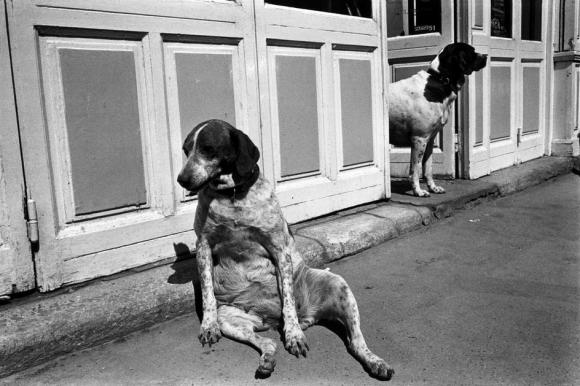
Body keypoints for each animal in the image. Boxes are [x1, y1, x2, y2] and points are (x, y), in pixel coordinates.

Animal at [177, 118, 394, 380]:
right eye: (186, 150)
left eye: (208, 148)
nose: (181, 179)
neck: (232, 196)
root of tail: (305, 316)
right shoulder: (203, 247)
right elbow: (207, 294)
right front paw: (207, 326)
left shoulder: (279, 249)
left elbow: (288, 299)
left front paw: (294, 334)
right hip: (230, 318)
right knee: (269, 342)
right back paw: (267, 359)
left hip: (338, 285)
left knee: (356, 341)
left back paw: (374, 361)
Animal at [390, 43, 484, 196]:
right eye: (471, 51)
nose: (486, 56)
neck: (439, 80)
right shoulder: (419, 139)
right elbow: (415, 170)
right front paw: (418, 191)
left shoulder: (429, 141)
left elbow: (428, 169)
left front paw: (433, 188)